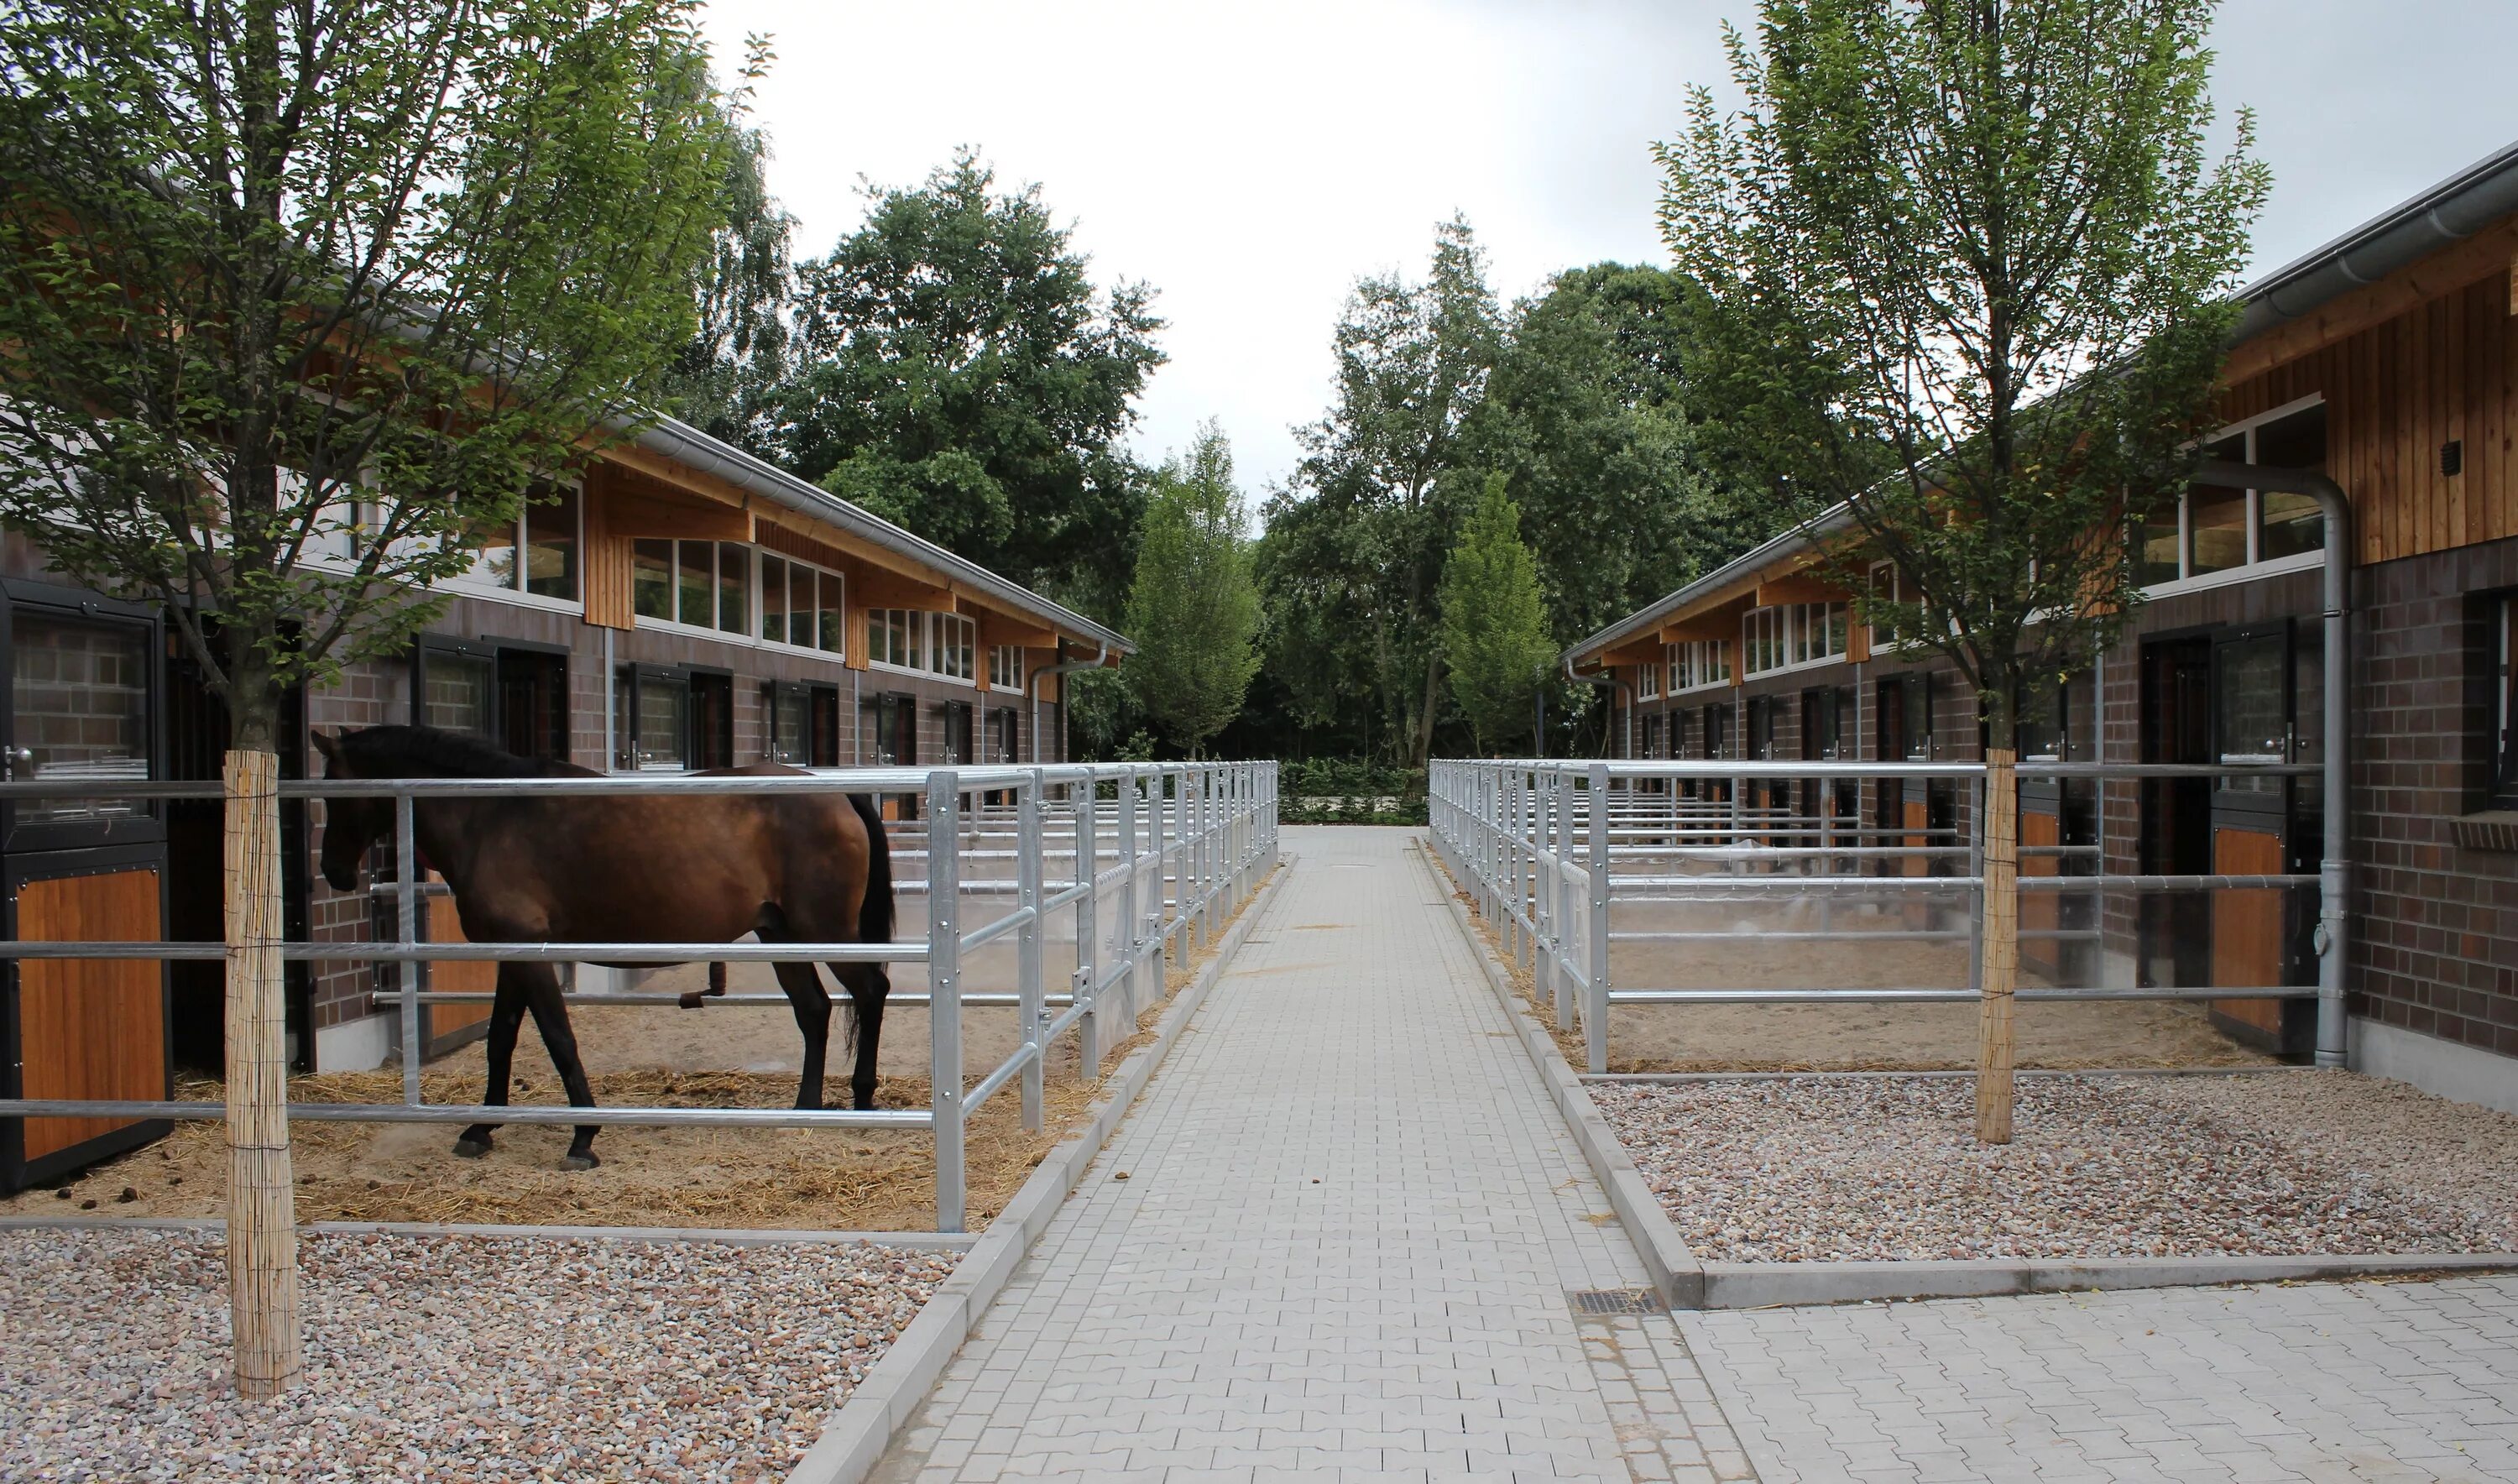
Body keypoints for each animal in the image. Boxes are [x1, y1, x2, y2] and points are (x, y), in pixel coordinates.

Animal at [313, 725, 891, 1168]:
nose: (334, 872)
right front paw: (481, 1128)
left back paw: (863, 1098)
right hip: (780, 934)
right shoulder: (512, 952)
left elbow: (558, 1038)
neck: (491, 813)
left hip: (825, 931)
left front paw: (583, 1137)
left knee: (871, 991)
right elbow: (501, 1037)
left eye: (335, 792)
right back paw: (805, 1108)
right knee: (814, 1009)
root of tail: (838, 795)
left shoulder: (529, 953)